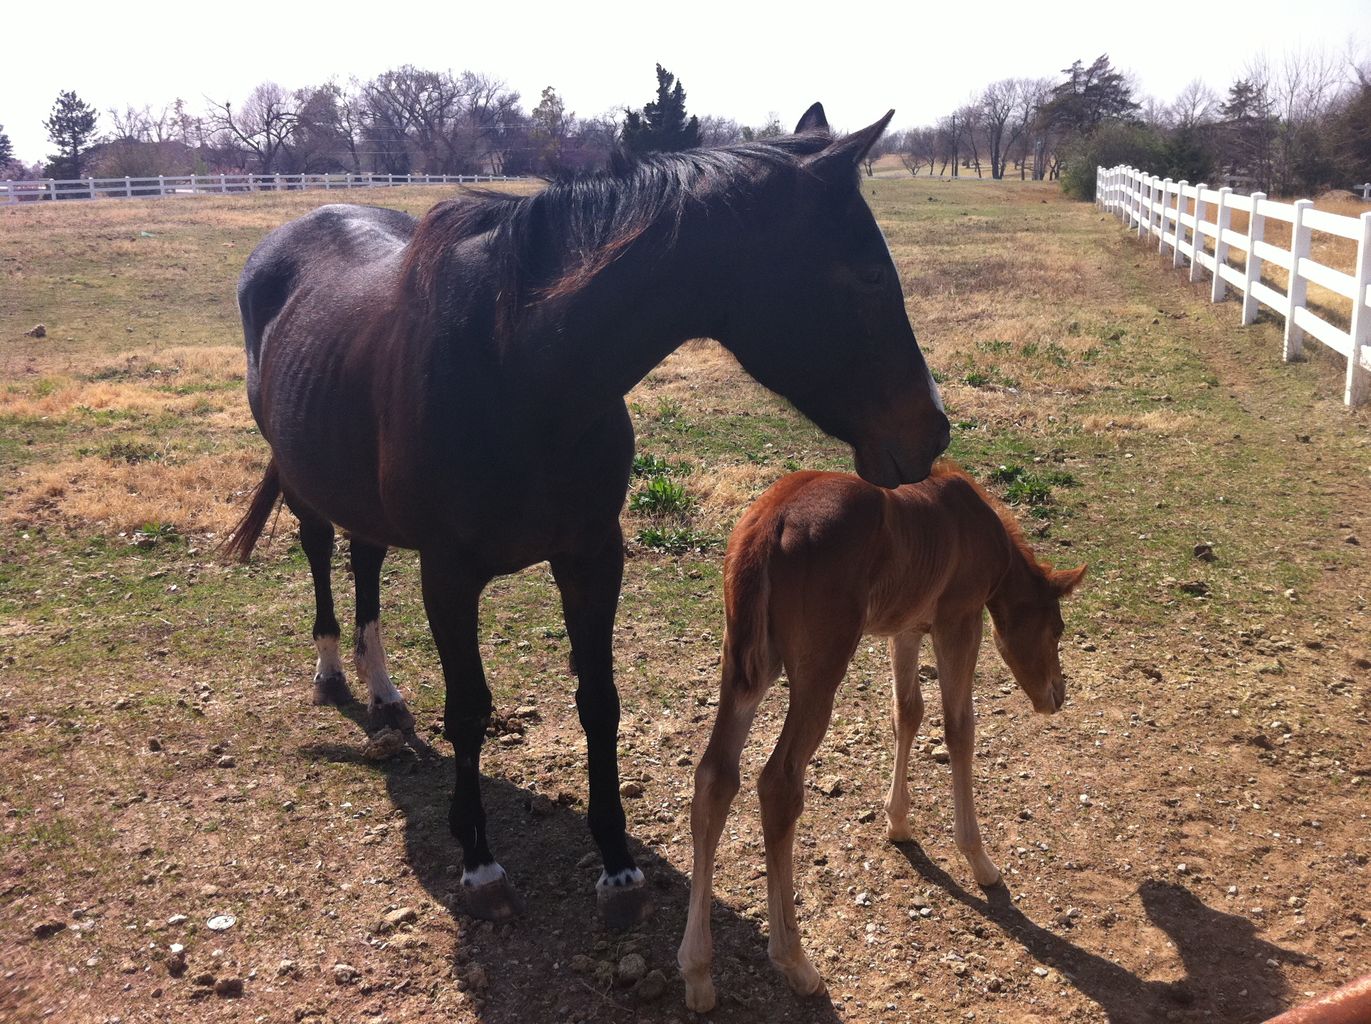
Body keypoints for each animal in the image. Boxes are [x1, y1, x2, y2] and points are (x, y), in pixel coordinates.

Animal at [227, 106, 954, 926]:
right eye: (868, 275)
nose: (933, 431)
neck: (519, 370)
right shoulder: (450, 575)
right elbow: (470, 710)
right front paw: (479, 861)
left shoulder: (592, 555)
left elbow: (598, 701)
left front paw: (616, 861)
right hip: (305, 478)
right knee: (323, 552)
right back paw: (332, 674)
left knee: (365, 557)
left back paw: (382, 691)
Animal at [680, 468, 1085, 1014]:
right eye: (1056, 627)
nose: (1056, 696)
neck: (975, 523)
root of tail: (768, 524)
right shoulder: (960, 619)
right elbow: (959, 727)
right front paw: (978, 859)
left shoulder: (907, 627)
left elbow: (907, 713)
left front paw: (897, 822)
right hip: (819, 667)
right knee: (779, 783)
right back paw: (796, 963)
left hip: (744, 665)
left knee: (714, 777)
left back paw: (698, 971)